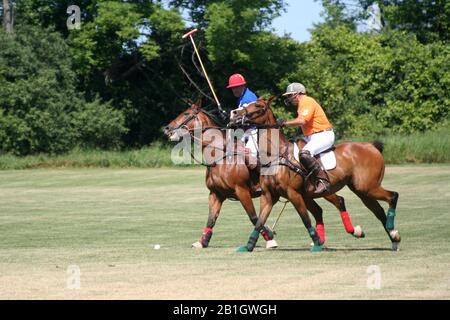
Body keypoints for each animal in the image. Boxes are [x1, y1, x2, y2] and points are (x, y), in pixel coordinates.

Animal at [163, 100, 364, 248]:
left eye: (186, 114)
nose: (167, 129)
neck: (221, 156)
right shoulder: (216, 194)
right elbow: (211, 219)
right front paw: (202, 241)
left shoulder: (241, 190)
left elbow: (253, 217)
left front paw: (269, 238)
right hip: (306, 194)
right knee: (318, 210)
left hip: (321, 190)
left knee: (339, 201)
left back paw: (355, 230)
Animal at [229, 97, 400, 252]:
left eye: (258, 106)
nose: (234, 113)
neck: (276, 155)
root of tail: (372, 146)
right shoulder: (268, 196)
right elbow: (259, 221)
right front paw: (249, 246)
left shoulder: (293, 194)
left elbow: (305, 219)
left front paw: (317, 242)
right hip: (361, 190)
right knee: (378, 211)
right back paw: (393, 238)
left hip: (366, 186)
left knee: (392, 196)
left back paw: (391, 230)